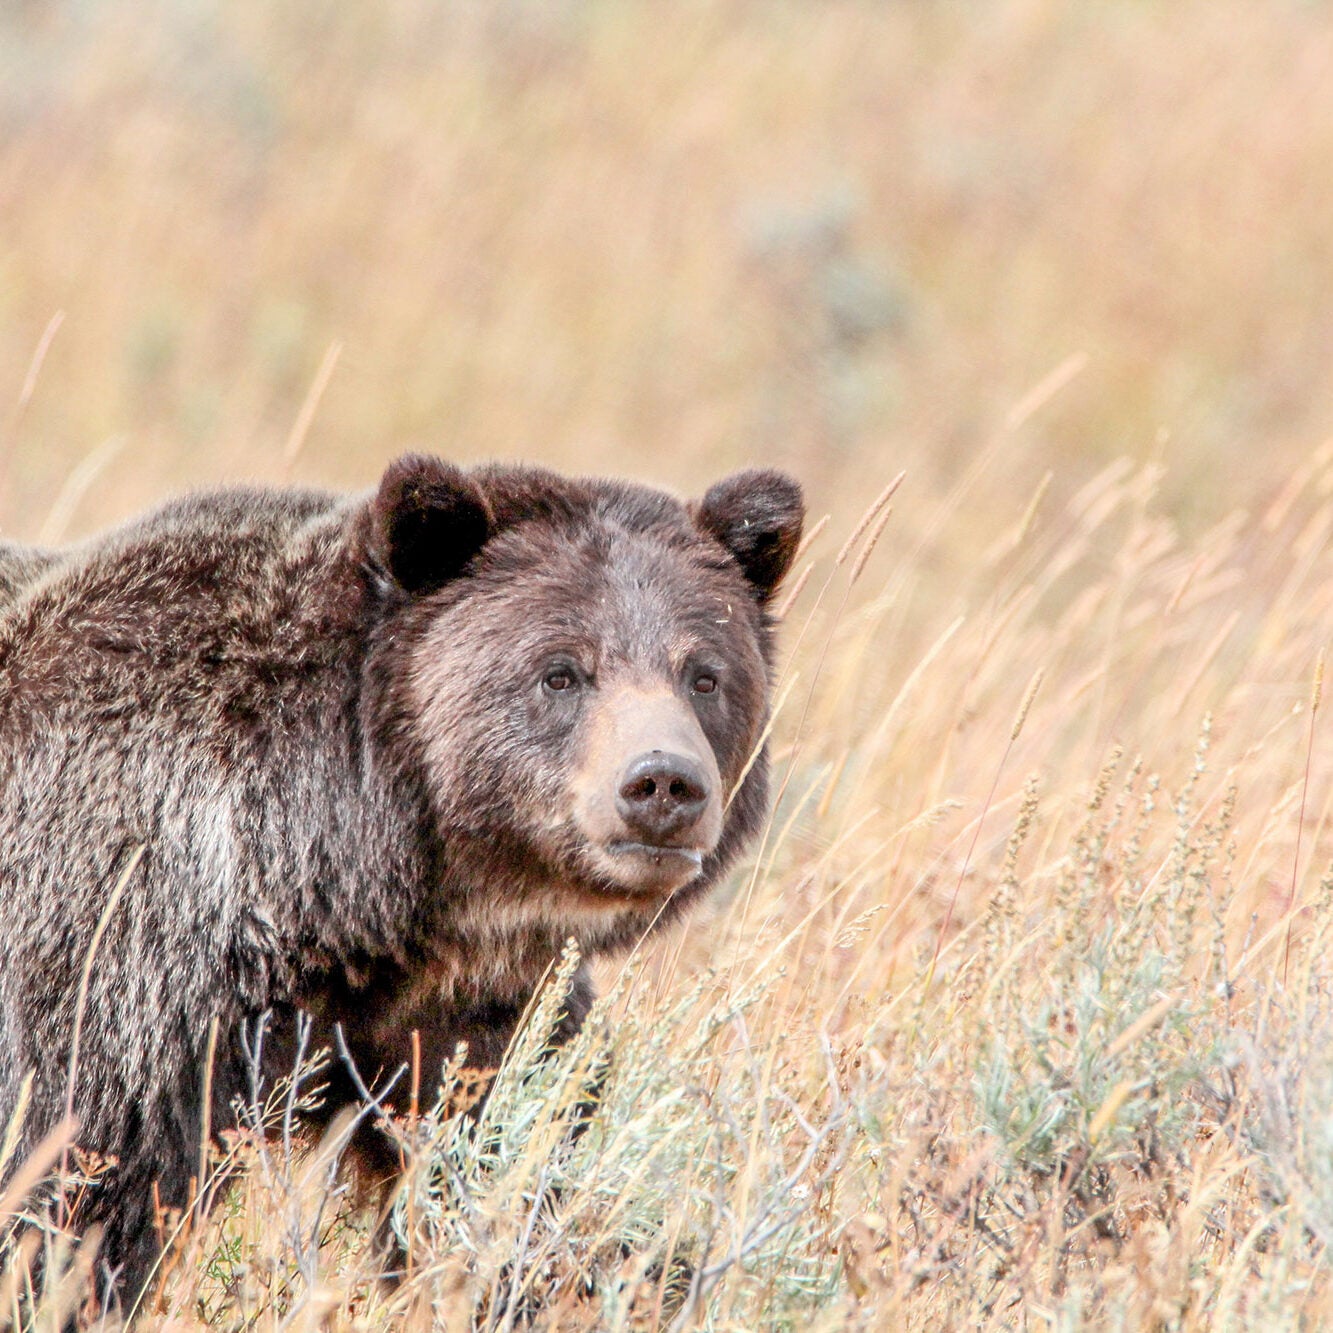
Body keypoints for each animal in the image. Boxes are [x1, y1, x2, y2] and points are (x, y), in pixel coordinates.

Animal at [0, 453, 799, 1306]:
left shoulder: (468, 1019)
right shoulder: (118, 959)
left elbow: (510, 1170)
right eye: (560, 671)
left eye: (704, 674)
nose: (663, 783)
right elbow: (74, 1192)